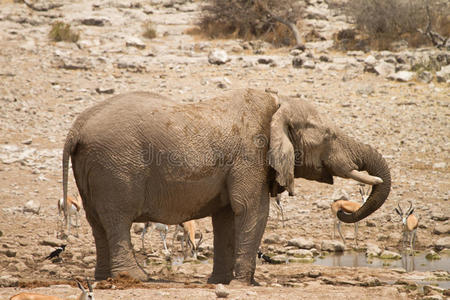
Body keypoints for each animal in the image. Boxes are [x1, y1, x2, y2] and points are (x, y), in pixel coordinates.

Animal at [60, 88, 390, 284]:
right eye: (331, 136)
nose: (343, 211)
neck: (277, 105)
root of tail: (77, 127)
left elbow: (227, 217)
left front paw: (220, 283)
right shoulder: (251, 155)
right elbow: (253, 211)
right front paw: (246, 284)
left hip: (93, 167)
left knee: (97, 222)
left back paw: (103, 279)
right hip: (115, 168)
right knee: (117, 220)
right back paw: (138, 278)